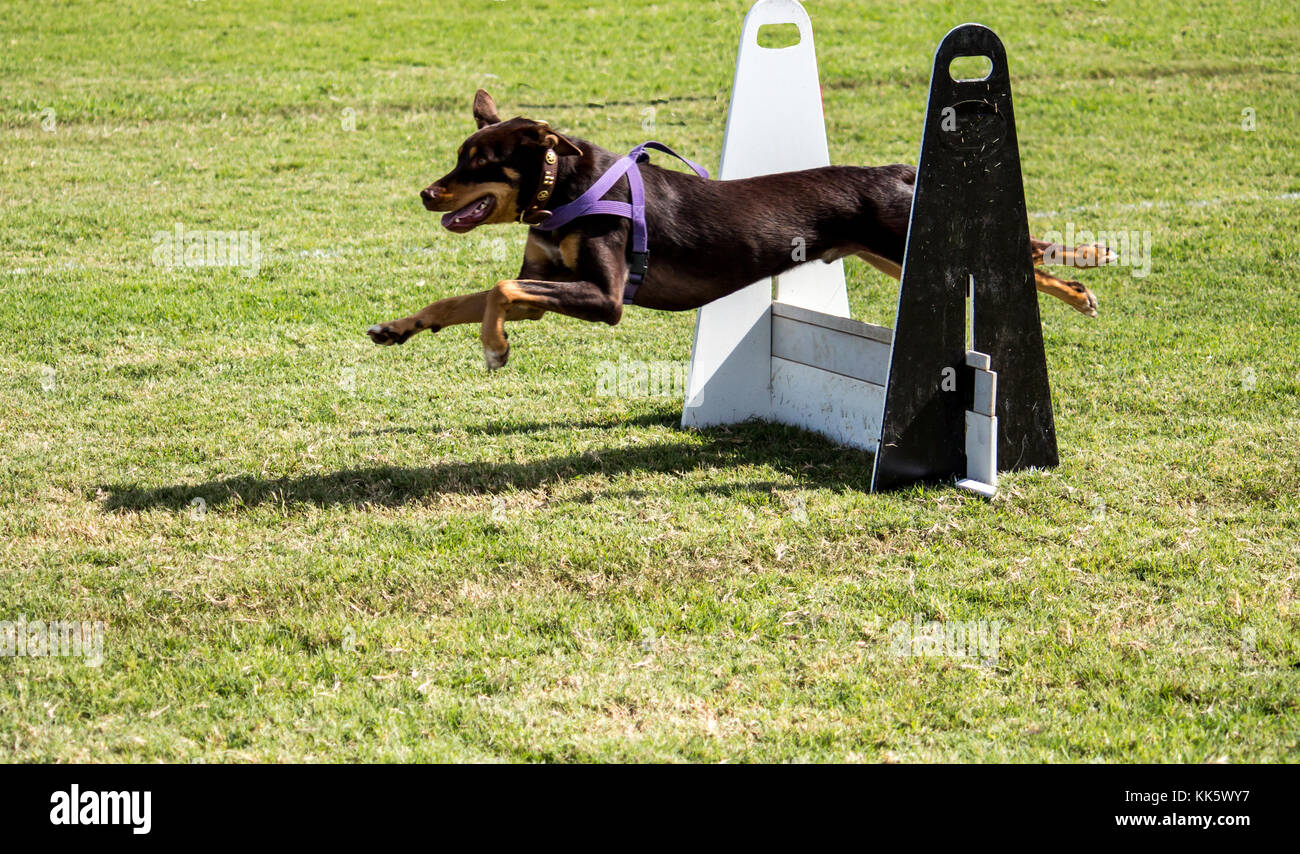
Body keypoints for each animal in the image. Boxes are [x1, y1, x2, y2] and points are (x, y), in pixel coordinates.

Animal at [369, 91, 1107, 369]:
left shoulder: (604, 298)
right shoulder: (545, 287)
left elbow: (496, 292)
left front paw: (494, 349)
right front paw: (399, 327)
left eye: (478, 163)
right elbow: (468, 298)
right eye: (457, 157)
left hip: (907, 246)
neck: (565, 192)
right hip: (895, 254)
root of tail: (898, 170)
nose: (426, 193)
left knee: (1025, 258)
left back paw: (1082, 280)